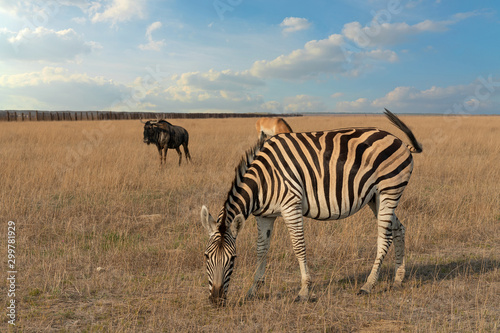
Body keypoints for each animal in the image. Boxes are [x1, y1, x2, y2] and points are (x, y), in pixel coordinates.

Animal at [199, 109, 422, 304]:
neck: (263, 179)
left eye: (233, 258)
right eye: (206, 256)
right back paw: (398, 279)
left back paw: (368, 285)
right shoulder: (264, 215)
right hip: (375, 198)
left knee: (384, 238)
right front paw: (253, 291)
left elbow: (299, 247)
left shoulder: (291, 206)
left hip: (389, 191)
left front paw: (304, 291)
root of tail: (400, 141)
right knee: (399, 229)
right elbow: (261, 249)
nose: (216, 300)